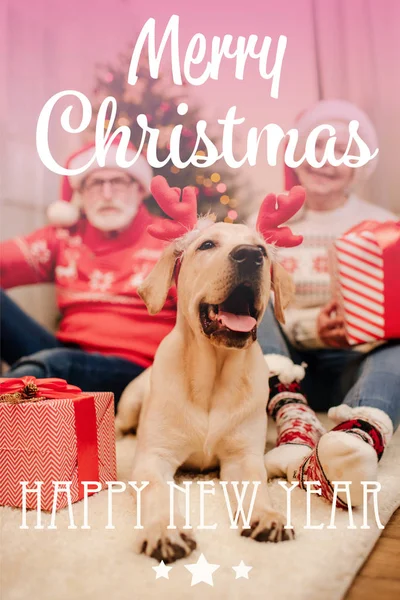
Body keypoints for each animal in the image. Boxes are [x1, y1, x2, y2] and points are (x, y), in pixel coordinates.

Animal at [120, 176, 304, 560]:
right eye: (206, 245)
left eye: (263, 249)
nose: (250, 255)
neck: (212, 378)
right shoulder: (153, 459)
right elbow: (158, 492)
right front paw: (165, 530)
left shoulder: (243, 458)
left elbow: (257, 486)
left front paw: (268, 516)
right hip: (129, 404)